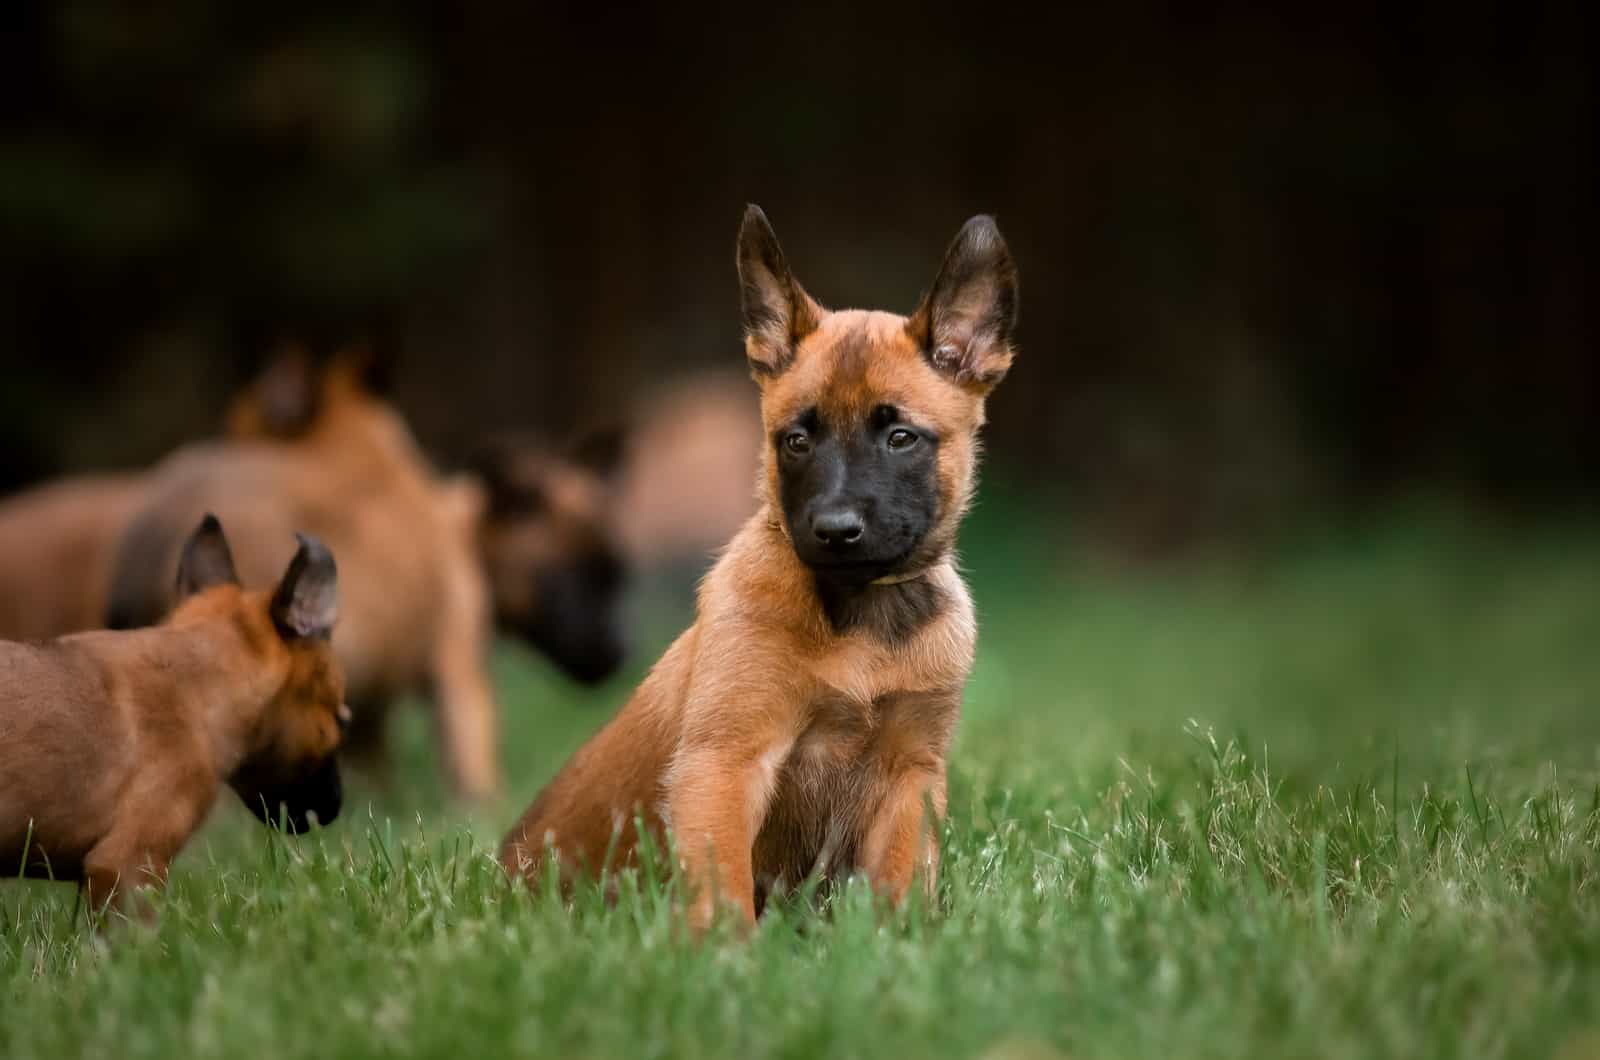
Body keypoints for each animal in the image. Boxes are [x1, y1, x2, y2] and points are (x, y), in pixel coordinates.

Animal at [502, 208, 1024, 928]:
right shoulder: (725, 764)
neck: (858, 621)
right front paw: (726, 955)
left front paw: (900, 942)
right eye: (796, 441)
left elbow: (896, 885)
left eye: (901, 438)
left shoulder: (910, 776)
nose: (835, 530)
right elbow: (723, 891)